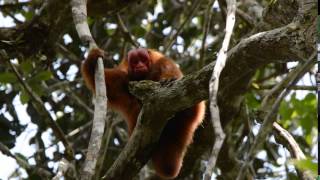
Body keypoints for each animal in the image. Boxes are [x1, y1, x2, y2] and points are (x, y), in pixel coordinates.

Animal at [80, 47, 205, 179]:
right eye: (135, 61)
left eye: (143, 59)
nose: (140, 65)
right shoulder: (124, 77)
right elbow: (111, 87)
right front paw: (91, 62)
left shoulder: (163, 62)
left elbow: (171, 75)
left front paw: (168, 79)